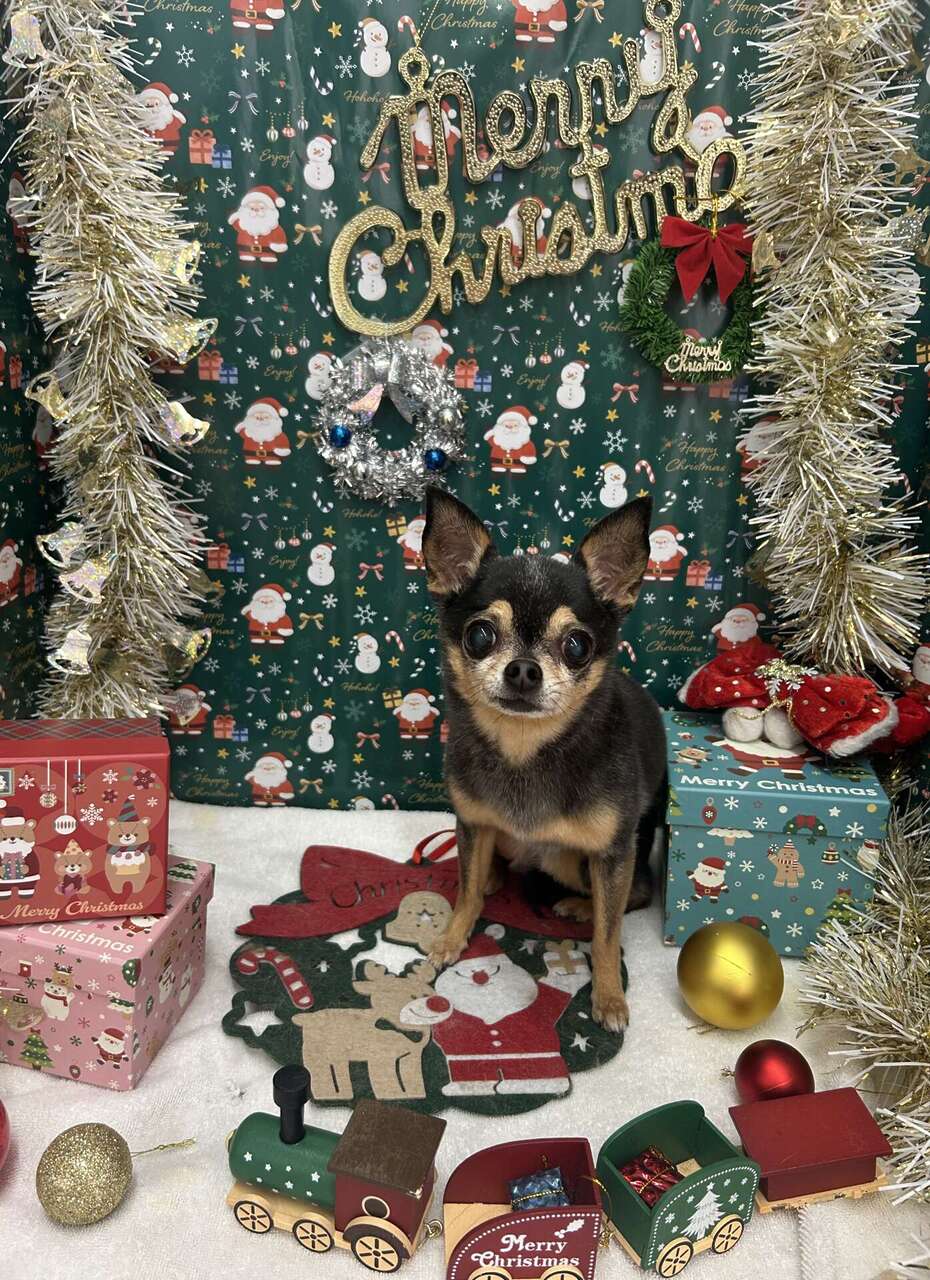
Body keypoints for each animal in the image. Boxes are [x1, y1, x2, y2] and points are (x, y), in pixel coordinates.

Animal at [422, 487, 666, 1032]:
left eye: (577, 645)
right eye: (480, 636)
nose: (523, 670)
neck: (525, 750)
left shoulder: (613, 852)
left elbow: (608, 935)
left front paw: (608, 997)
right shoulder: (471, 822)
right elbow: (465, 892)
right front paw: (452, 937)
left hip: (578, 860)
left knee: (636, 893)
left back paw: (579, 906)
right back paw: (494, 873)